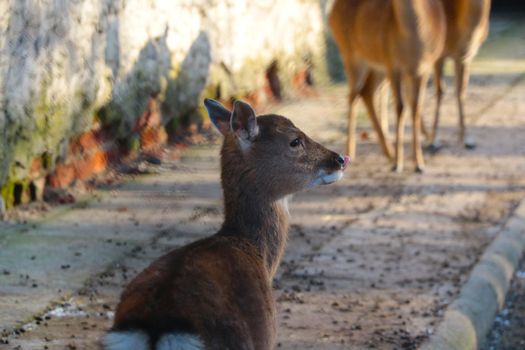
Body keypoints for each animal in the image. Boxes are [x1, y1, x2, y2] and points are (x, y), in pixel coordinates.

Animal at [330, 0, 444, 172]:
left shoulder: (423, 70)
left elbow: (416, 109)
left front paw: (419, 163)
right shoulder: (393, 65)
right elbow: (400, 108)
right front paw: (398, 164)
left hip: (377, 67)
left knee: (366, 92)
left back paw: (388, 152)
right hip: (352, 55)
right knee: (353, 96)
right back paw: (351, 152)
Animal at [428, 0, 490, 149]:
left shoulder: (464, 56)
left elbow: (461, 91)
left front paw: (467, 139)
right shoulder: (438, 54)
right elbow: (440, 91)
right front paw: (434, 140)